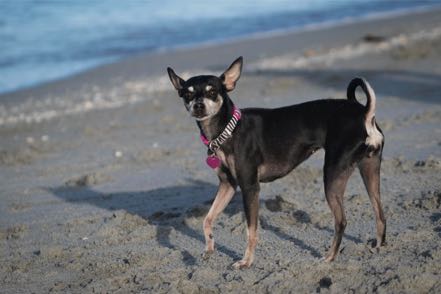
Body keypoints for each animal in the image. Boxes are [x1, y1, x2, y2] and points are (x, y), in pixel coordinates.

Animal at [167, 56, 384, 268]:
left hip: (332, 176)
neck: (228, 130)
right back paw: (379, 247)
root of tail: (365, 114)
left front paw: (246, 261)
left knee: (342, 221)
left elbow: (251, 231)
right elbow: (207, 219)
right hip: (369, 169)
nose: (198, 105)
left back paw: (330, 257)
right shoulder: (228, 185)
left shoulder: (249, 187)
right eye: (187, 95)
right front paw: (209, 247)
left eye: (212, 92)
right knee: (380, 213)